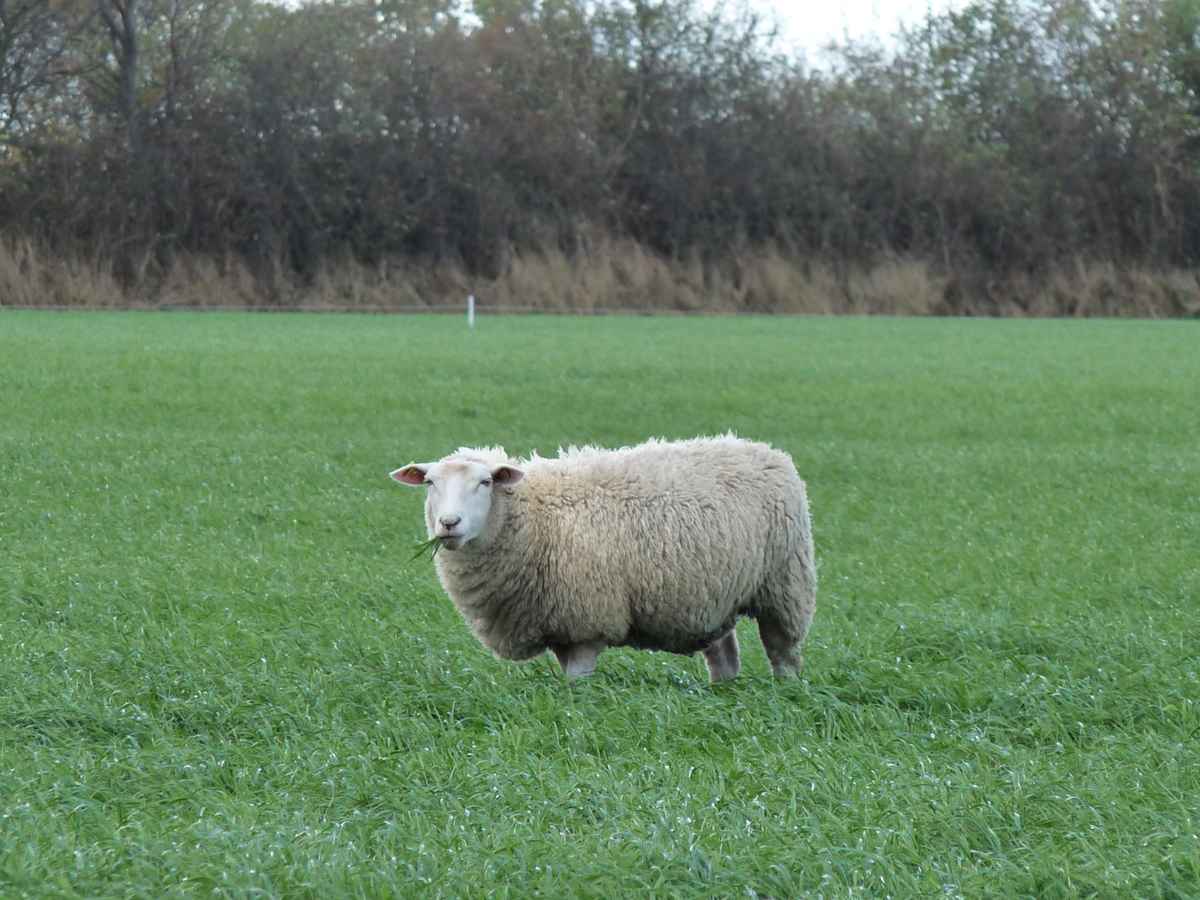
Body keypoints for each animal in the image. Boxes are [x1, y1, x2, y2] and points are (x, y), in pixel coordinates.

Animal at [390, 435, 816, 682]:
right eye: (430, 483)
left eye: (485, 482)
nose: (449, 523)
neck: (531, 515)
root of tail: (767, 451)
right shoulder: (557, 622)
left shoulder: (585, 621)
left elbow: (577, 683)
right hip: (713, 593)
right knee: (724, 658)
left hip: (785, 584)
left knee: (784, 653)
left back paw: (786, 693)